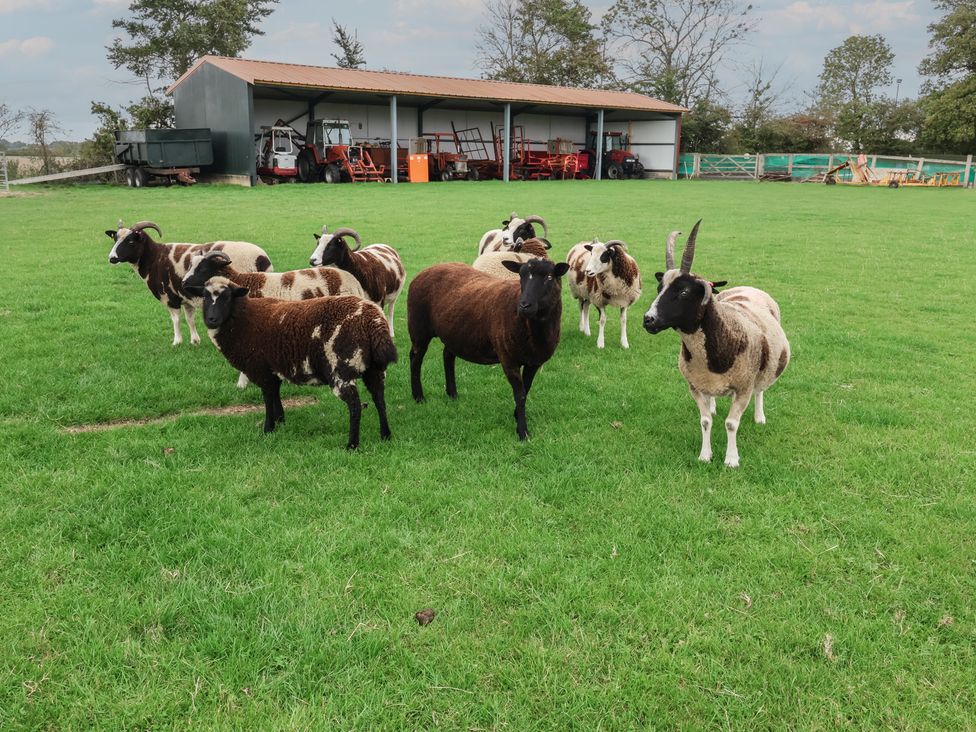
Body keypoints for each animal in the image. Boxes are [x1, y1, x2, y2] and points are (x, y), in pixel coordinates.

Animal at [104, 219, 273, 347]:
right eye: (115, 239)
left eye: (130, 241)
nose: (112, 258)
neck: (154, 258)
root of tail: (261, 258)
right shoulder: (186, 298)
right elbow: (189, 319)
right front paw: (195, 340)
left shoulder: (169, 297)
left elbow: (176, 320)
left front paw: (177, 342)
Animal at [183, 276, 397, 449]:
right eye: (204, 296)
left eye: (227, 297)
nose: (211, 319)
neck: (243, 319)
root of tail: (374, 322)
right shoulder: (273, 369)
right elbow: (276, 397)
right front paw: (281, 422)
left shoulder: (261, 369)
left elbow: (268, 399)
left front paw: (268, 429)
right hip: (374, 368)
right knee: (380, 399)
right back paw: (385, 435)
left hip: (340, 367)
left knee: (355, 405)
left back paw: (352, 445)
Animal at [407, 257, 569, 441]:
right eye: (521, 275)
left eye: (549, 277)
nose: (524, 306)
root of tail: (428, 269)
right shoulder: (508, 359)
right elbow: (519, 394)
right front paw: (523, 432)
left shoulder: (534, 361)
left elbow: (525, 390)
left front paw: (516, 416)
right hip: (418, 328)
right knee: (415, 359)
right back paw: (418, 396)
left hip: (455, 332)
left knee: (447, 355)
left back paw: (452, 394)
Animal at [642, 220, 790, 468]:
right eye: (659, 288)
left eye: (684, 291)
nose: (648, 320)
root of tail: (749, 287)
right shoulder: (694, 385)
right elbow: (704, 421)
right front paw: (705, 455)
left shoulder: (743, 387)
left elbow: (731, 423)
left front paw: (731, 459)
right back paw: (713, 407)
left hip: (764, 367)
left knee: (760, 390)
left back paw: (759, 417)